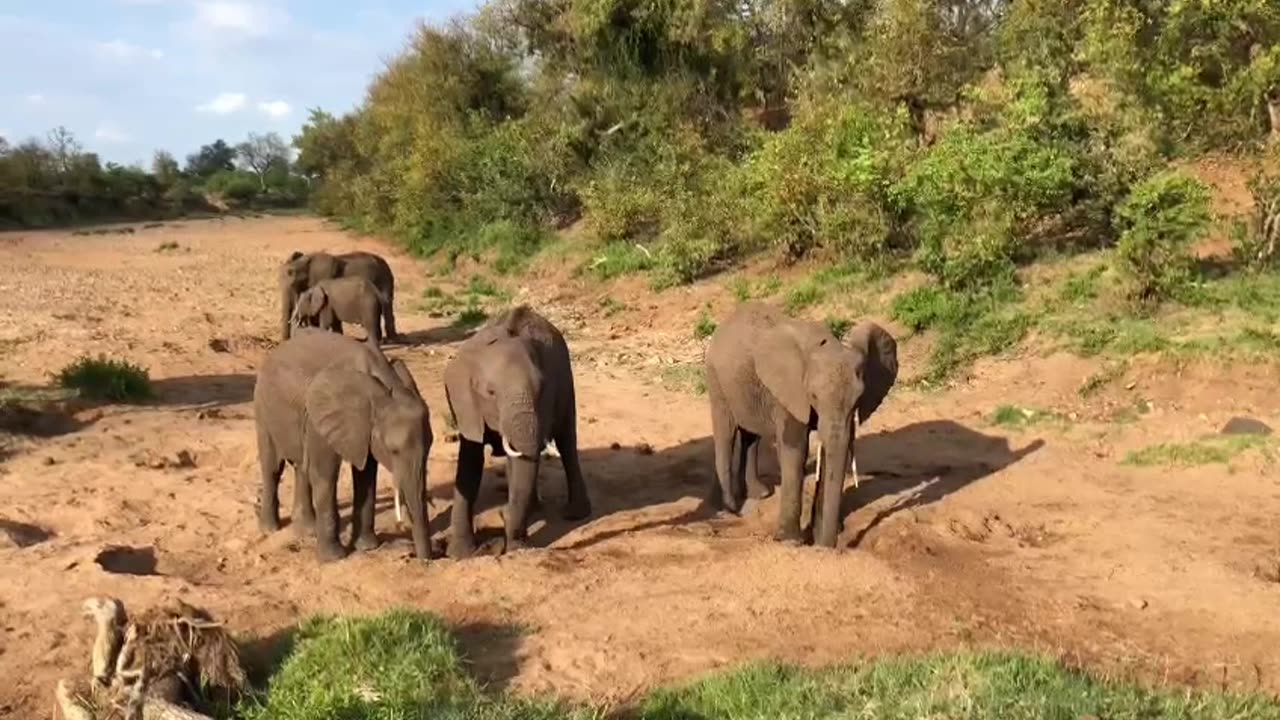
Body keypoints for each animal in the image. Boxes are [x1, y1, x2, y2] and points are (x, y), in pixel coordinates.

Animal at [254, 326, 435, 561]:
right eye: (394, 451)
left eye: (430, 447)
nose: (425, 559)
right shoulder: (320, 419)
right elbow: (325, 474)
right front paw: (333, 559)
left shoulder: (364, 430)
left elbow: (366, 475)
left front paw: (367, 547)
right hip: (262, 406)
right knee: (273, 467)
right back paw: (270, 529)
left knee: (302, 467)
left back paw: (307, 530)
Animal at [442, 302, 591, 556]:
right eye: (490, 392)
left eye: (541, 388)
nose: (503, 513)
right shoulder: (467, 405)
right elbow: (470, 463)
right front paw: (460, 555)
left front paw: (515, 542)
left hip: (566, 378)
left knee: (566, 441)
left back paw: (574, 514)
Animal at [701, 301, 901, 543]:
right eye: (813, 395)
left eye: (858, 399)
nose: (827, 545)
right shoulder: (789, 393)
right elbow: (796, 450)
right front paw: (791, 540)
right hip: (716, 379)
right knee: (726, 433)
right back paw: (728, 507)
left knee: (751, 436)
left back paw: (758, 494)